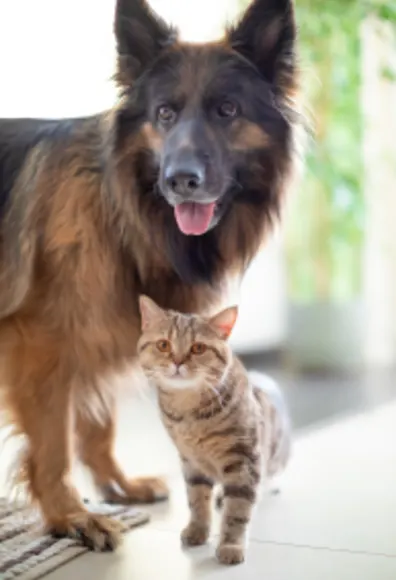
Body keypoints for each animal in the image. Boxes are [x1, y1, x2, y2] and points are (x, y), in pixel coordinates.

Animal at [136, 296, 290, 564]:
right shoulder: (191, 461)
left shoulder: (244, 459)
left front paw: (230, 545)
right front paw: (198, 530)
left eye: (198, 348)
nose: (177, 362)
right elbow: (197, 500)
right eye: (163, 345)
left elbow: (237, 509)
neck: (189, 412)